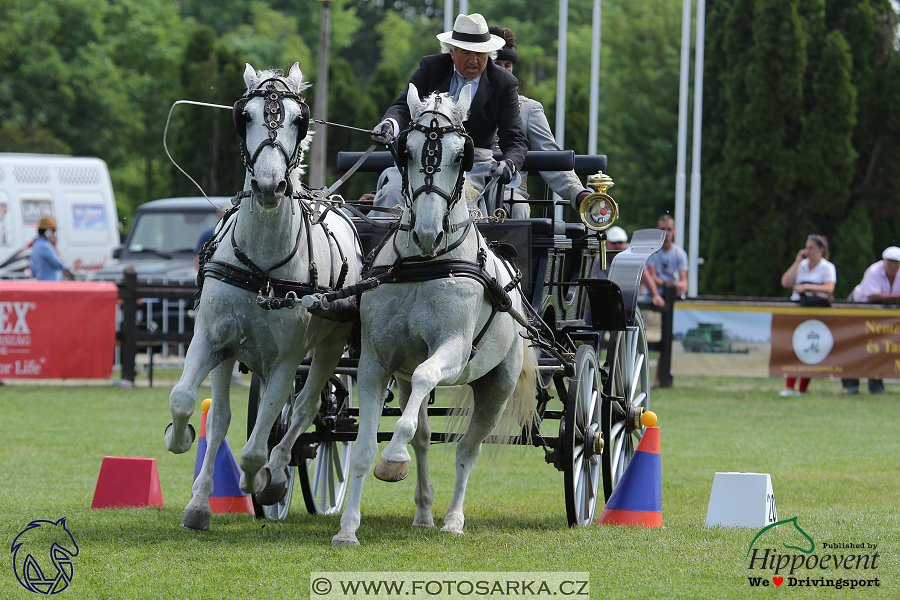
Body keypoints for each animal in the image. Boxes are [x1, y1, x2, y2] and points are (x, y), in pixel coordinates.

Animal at [167, 62, 364, 528]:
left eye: (297, 120)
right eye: (246, 116)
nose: (269, 186)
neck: (262, 268)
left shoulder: (286, 361)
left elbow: (257, 447)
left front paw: (264, 481)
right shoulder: (212, 339)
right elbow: (190, 402)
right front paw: (183, 448)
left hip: (330, 346)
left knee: (306, 409)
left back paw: (275, 474)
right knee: (231, 417)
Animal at [334, 85, 536, 548]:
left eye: (462, 155)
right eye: (403, 150)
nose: (428, 232)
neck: (424, 264)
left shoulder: (453, 350)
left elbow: (429, 380)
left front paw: (392, 458)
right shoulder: (375, 362)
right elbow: (364, 448)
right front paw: (348, 528)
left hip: (497, 385)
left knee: (466, 450)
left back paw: (452, 519)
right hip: (405, 376)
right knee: (424, 437)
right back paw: (424, 513)